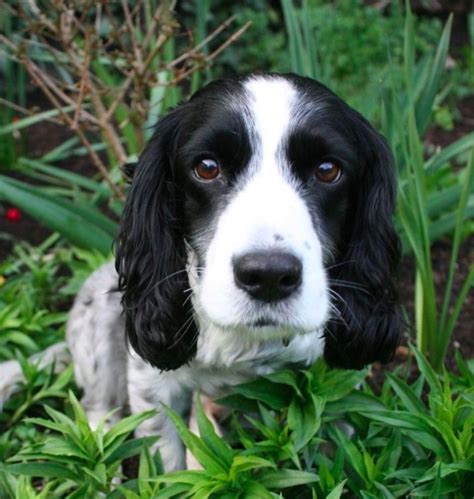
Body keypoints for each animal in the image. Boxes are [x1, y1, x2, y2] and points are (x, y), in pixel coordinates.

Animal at [2, 72, 404, 470]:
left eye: (327, 170)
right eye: (207, 167)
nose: (269, 276)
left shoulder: (329, 380)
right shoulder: (153, 385)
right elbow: (165, 461)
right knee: (98, 412)